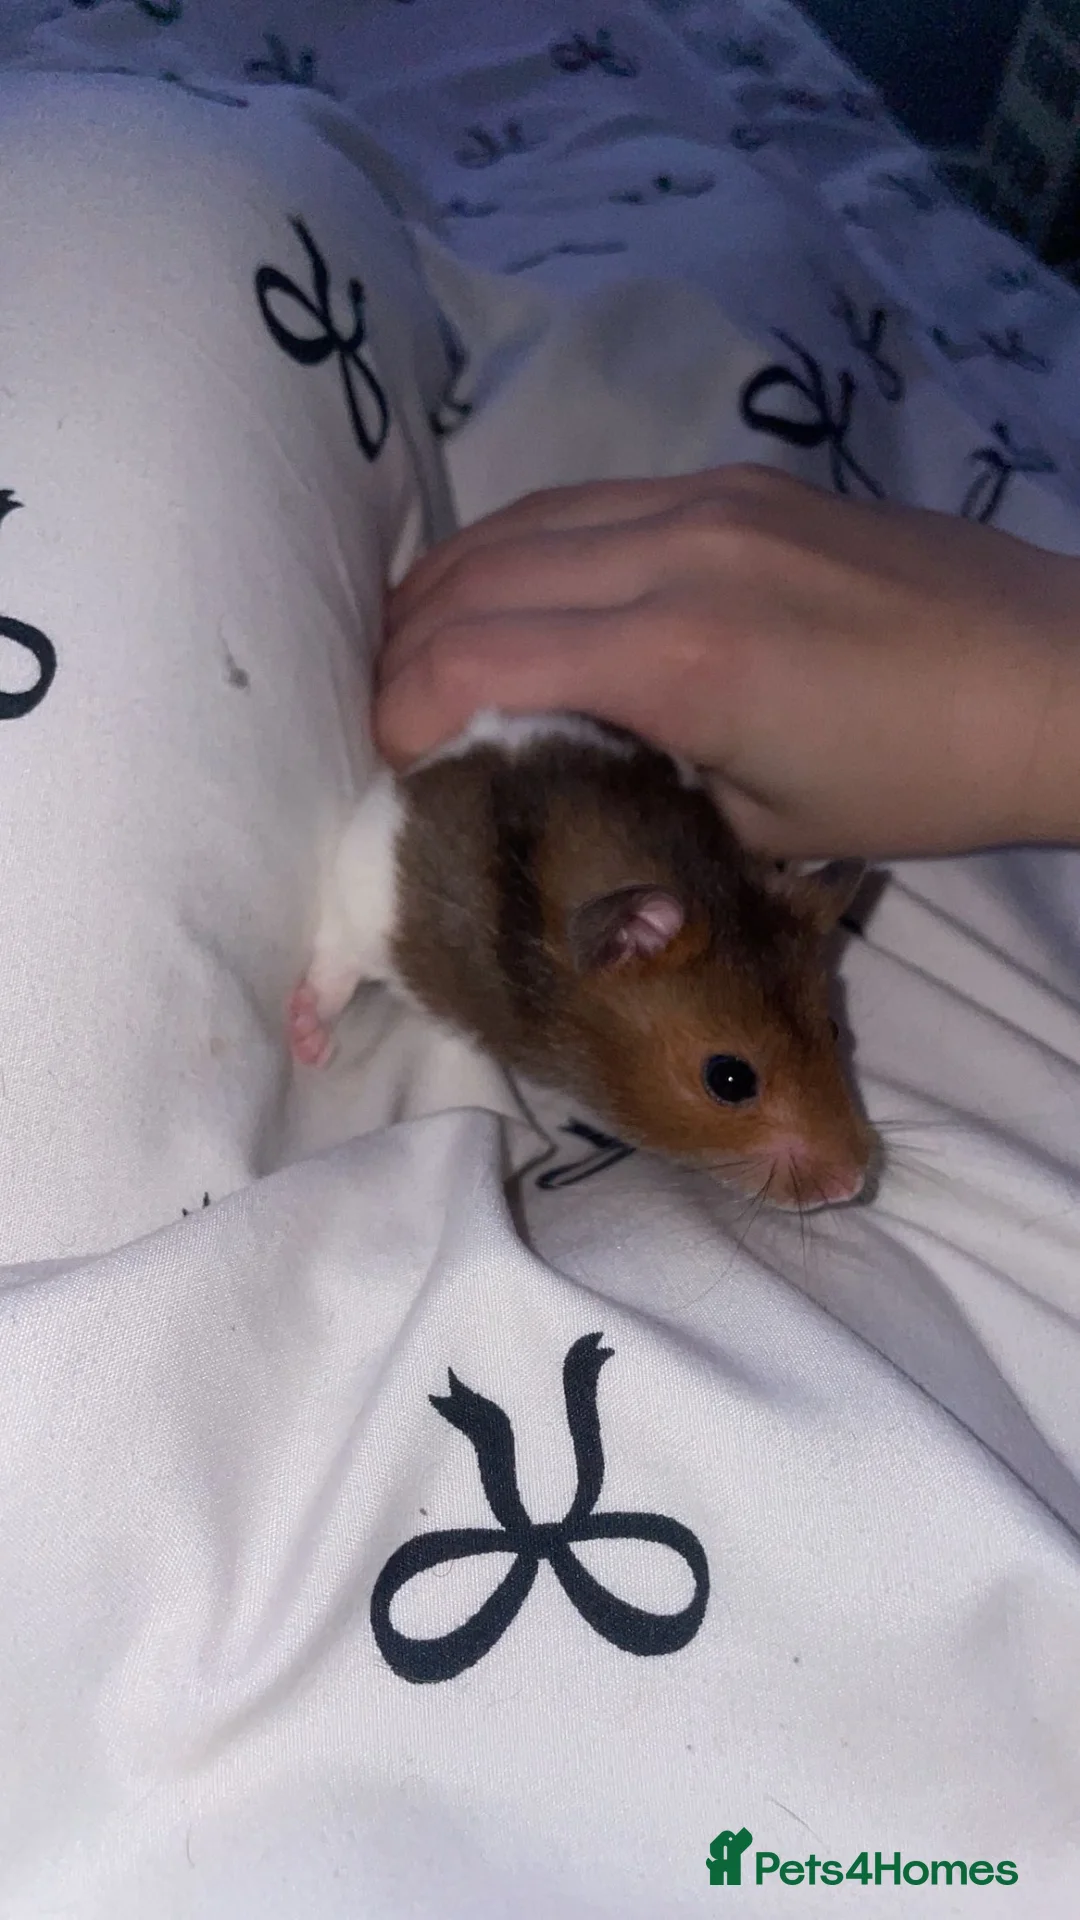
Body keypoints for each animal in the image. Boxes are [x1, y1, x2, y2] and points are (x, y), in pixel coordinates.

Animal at [288, 710, 876, 1210]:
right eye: (730, 1080)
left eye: (834, 1029)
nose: (853, 1186)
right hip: (365, 893)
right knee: (333, 964)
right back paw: (308, 1042)